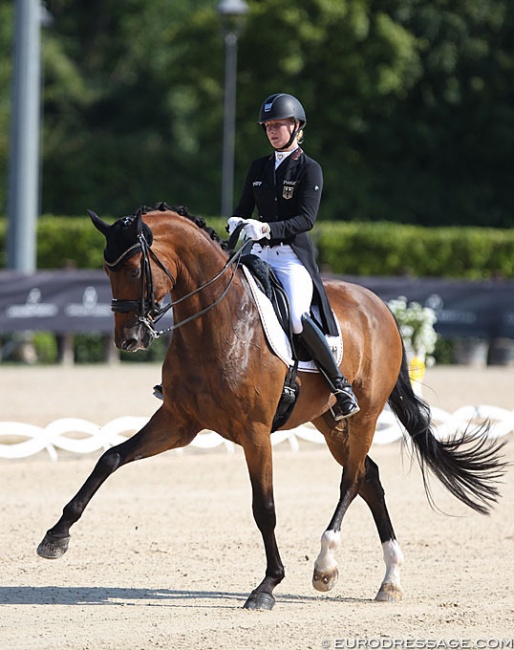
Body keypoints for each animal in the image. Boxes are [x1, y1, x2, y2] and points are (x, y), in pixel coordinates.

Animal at [37, 202, 504, 608]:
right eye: (106, 270)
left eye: (135, 269)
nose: (129, 339)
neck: (217, 323)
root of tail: (380, 306)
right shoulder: (178, 421)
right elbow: (111, 458)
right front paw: (56, 537)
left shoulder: (255, 432)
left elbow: (264, 508)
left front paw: (267, 586)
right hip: (329, 420)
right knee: (369, 477)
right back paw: (390, 580)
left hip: (365, 415)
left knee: (351, 480)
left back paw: (326, 567)